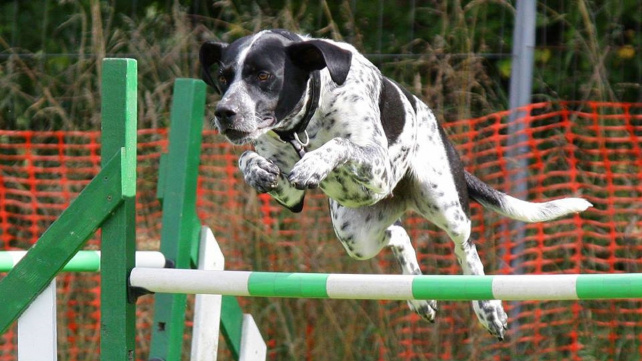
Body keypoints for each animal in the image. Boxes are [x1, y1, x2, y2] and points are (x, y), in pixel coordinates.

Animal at [196, 29, 592, 338]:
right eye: (224, 77)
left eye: (264, 75)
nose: (224, 113)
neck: (306, 124)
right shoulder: (291, 195)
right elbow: (249, 159)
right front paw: (257, 170)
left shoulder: (379, 167)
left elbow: (338, 146)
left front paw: (314, 163)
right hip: (355, 235)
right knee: (398, 233)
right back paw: (420, 296)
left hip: (446, 207)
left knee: (467, 249)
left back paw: (488, 309)